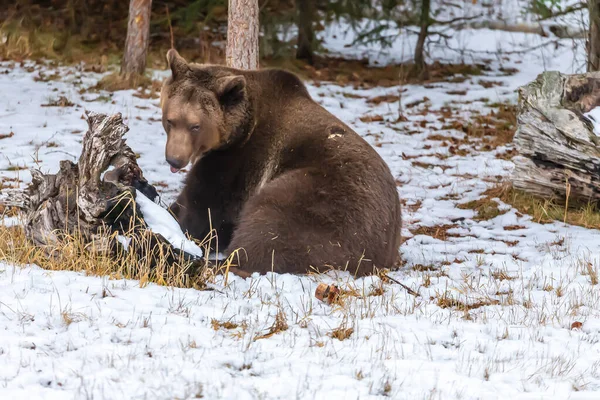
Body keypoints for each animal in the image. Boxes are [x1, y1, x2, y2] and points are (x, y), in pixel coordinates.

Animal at [162, 48, 400, 276]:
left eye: (196, 126)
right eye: (170, 120)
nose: (175, 159)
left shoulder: (241, 159)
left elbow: (206, 208)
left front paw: (182, 229)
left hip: (327, 200)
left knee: (271, 220)